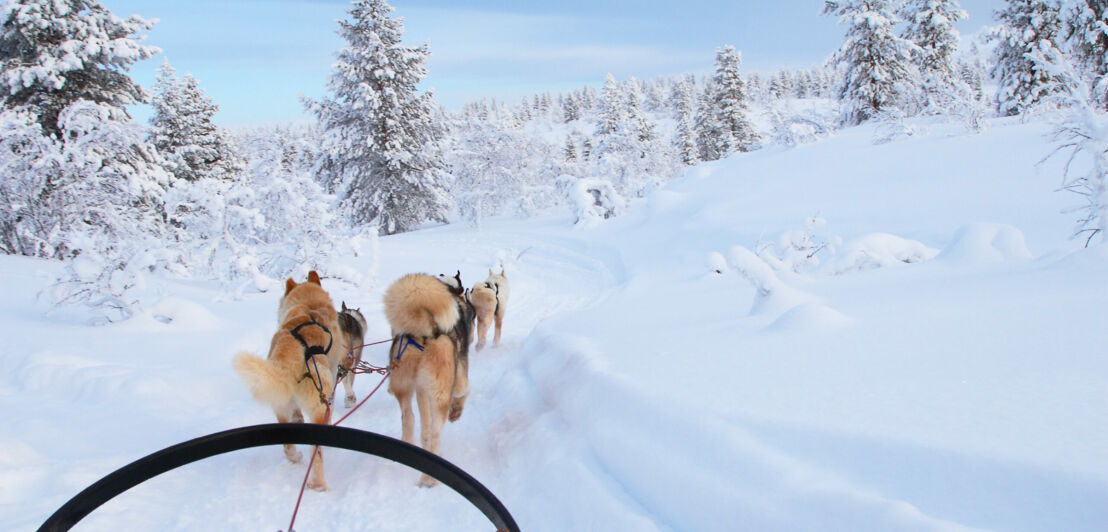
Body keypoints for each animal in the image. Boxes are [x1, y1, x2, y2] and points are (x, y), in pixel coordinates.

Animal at [231, 272, 339, 492]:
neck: (308, 304)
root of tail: (291, 350)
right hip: (320, 403)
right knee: (317, 452)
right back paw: (318, 484)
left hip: (280, 404)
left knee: (288, 441)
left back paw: (294, 456)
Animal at [383, 274, 474, 485]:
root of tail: (425, 331)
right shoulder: (460, 377)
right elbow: (464, 391)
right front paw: (457, 410)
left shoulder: (421, 390)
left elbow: (423, 423)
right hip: (440, 395)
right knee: (435, 433)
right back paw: (428, 479)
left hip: (404, 386)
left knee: (409, 417)